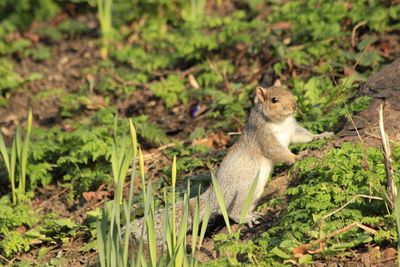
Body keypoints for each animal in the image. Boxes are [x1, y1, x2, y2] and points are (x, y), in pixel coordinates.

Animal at [126, 80, 332, 247]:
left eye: (289, 91)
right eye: (274, 100)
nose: (294, 106)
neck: (280, 122)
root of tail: (214, 196)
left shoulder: (292, 130)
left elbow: (304, 136)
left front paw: (321, 135)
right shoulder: (263, 138)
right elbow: (278, 152)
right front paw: (297, 157)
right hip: (243, 190)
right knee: (233, 213)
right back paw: (247, 217)